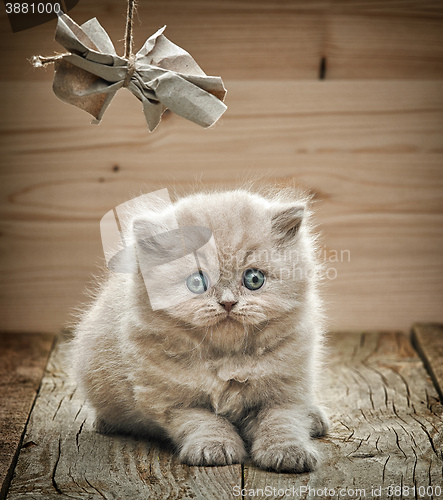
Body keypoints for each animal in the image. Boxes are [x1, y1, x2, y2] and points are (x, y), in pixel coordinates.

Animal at [72, 188, 330, 472]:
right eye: (197, 282)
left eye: (254, 279)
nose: (227, 302)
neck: (228, 360)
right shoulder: (176, 402)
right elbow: (206, 422)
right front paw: (214, 448)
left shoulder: (286, 392)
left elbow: (283, 423)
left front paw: (289, 453)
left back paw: (315, 419)